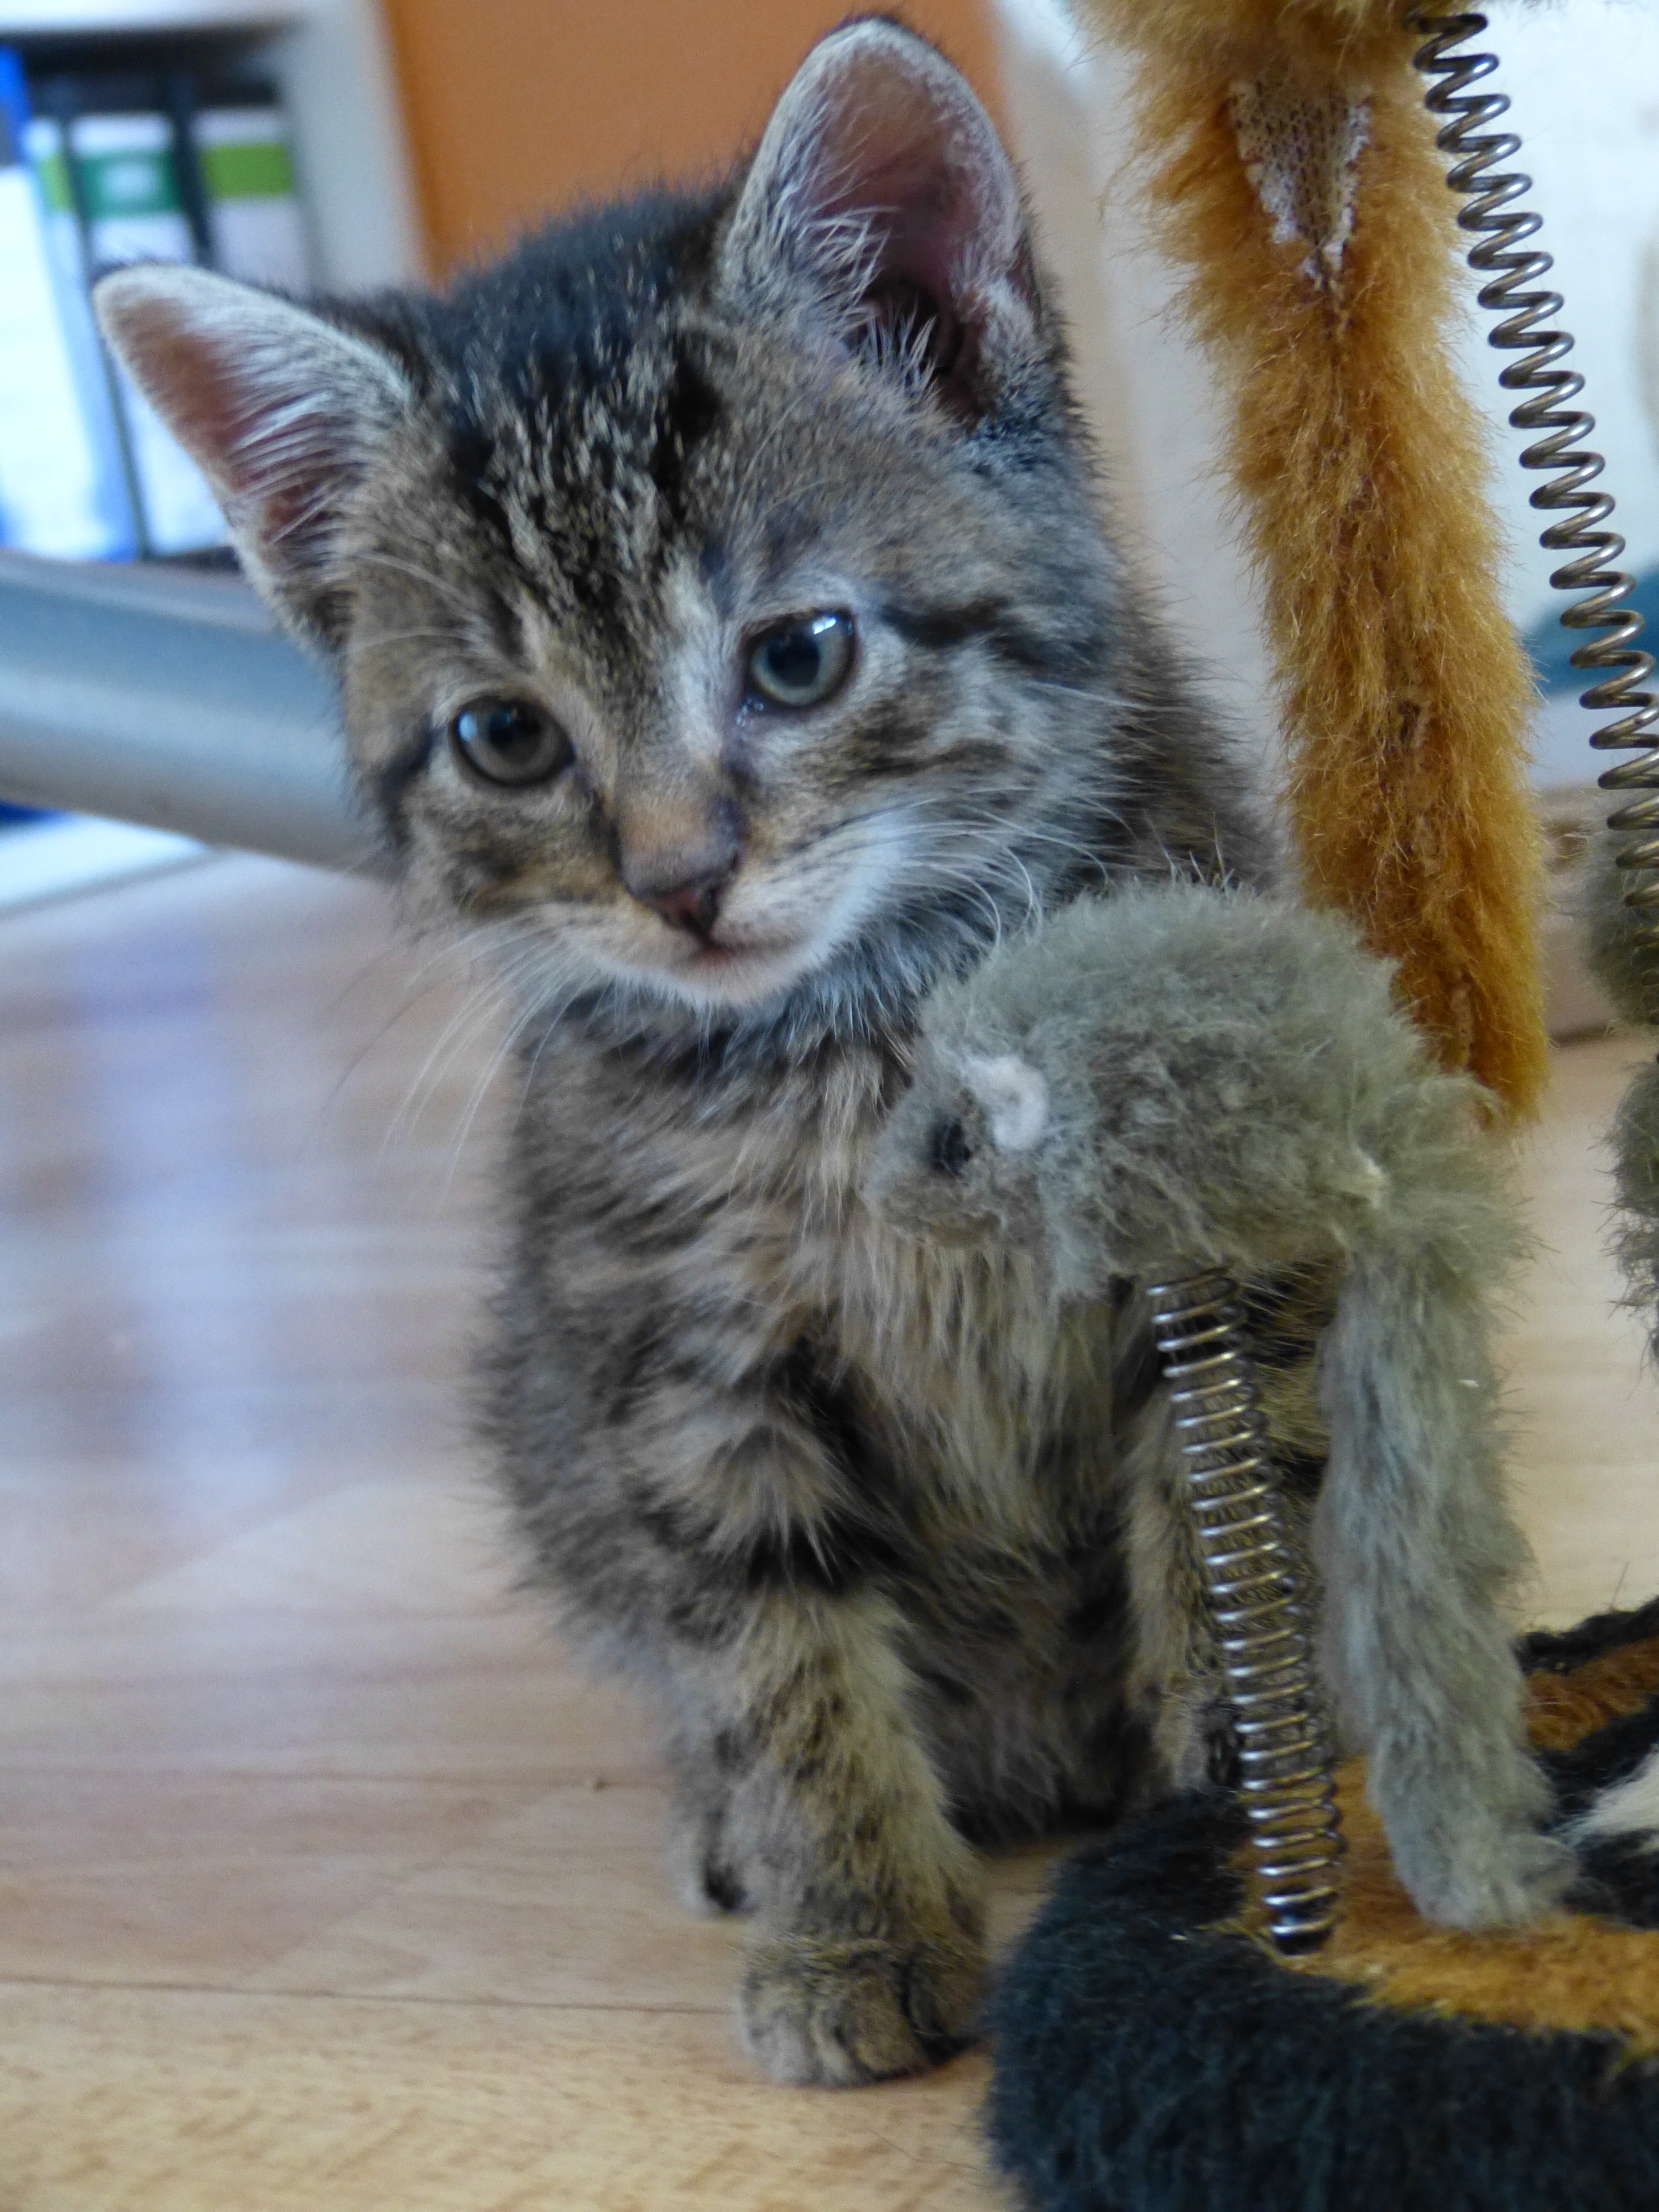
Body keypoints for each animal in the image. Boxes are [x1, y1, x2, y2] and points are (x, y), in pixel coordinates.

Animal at [97, 19, 1315, 2086]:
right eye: (506, 737)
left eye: (800, 653)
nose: (678, 881)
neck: (865, 1045)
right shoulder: (677, 1363)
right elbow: (773, 1650)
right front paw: (852, 1921)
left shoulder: (1223, 1260)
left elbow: (1236, 1549)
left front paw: (1250, 1853)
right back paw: (739, 1832)